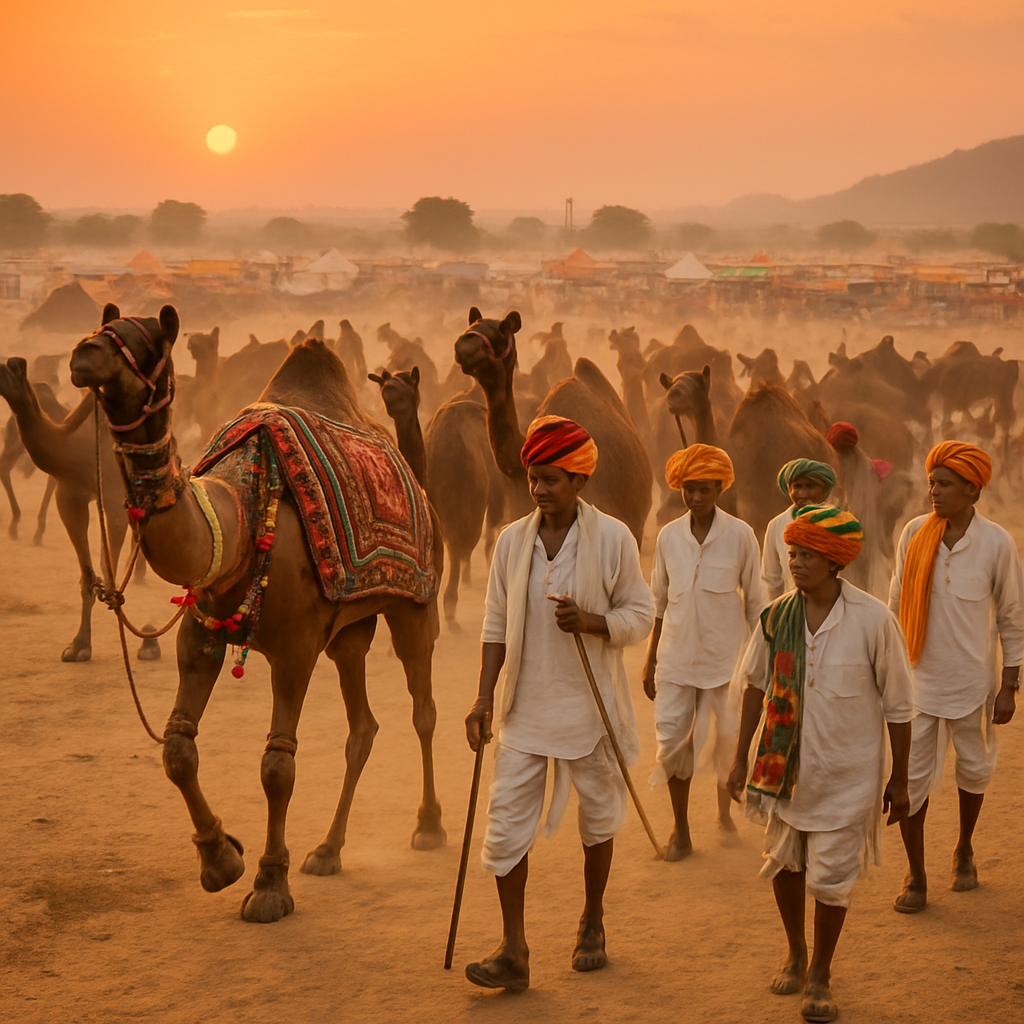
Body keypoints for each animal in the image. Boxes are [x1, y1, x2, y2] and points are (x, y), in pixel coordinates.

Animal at [69, 304, 446, 923]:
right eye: (106, 327)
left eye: (148, 342)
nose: (83, 355)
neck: (241, 517)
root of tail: (415, 480)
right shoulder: (199, 633)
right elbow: (177, 747)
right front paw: (221, 858)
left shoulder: (295, 648)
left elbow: (277, 765)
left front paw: (270, 885)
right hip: (349, 630)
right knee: (362, 725)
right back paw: (327, 850)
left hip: (416, 604)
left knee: (423, 709)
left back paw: (429, 826)